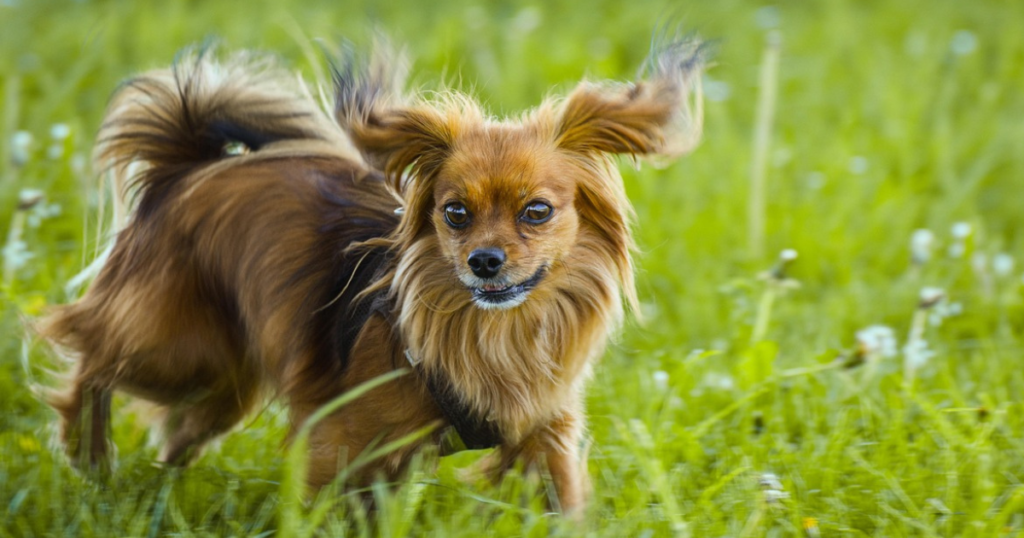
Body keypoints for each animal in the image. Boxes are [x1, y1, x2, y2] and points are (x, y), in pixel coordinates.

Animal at [37, 34, 696, 512]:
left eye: (537, 212)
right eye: (455, 213)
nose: (484, 261)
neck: (493, 333)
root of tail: (188, 166)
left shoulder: (545, 434)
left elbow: (564, 500)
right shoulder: (338, 437)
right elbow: (321, 502)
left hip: (222, 383)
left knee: (177, 430)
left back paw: (154, 485)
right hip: (178, 353)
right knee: (89, 356)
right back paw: (89, 454)